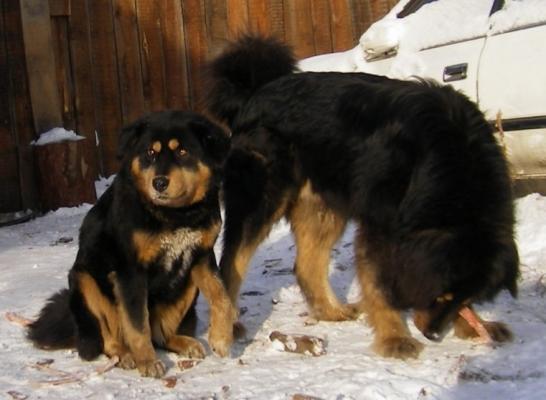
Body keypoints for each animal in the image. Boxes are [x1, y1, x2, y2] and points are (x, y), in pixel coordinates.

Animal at [28, 110, 232, 378]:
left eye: (182, 151)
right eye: (150, 153)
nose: (159, 183)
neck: (175, 215)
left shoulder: (202, 256)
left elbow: (222, 297)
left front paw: (221, 338)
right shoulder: (130, 271)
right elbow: (137, 325)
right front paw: (146, 362)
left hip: (186, 284)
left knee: (160, 335)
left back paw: (182, 342)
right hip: (84, 279)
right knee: (109, 338)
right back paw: (124, 355)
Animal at [206, 36, 516, 360]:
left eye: (465, 297)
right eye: (440, 294)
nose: (432, 334)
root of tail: (256, 92)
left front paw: (474, 325)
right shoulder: (380, 224)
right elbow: (379, 283)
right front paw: (395, 337)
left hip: (323, 207)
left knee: (306, 265)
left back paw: (331, 311)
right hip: (262, 200)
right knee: (231, 264)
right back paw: (228, 325)